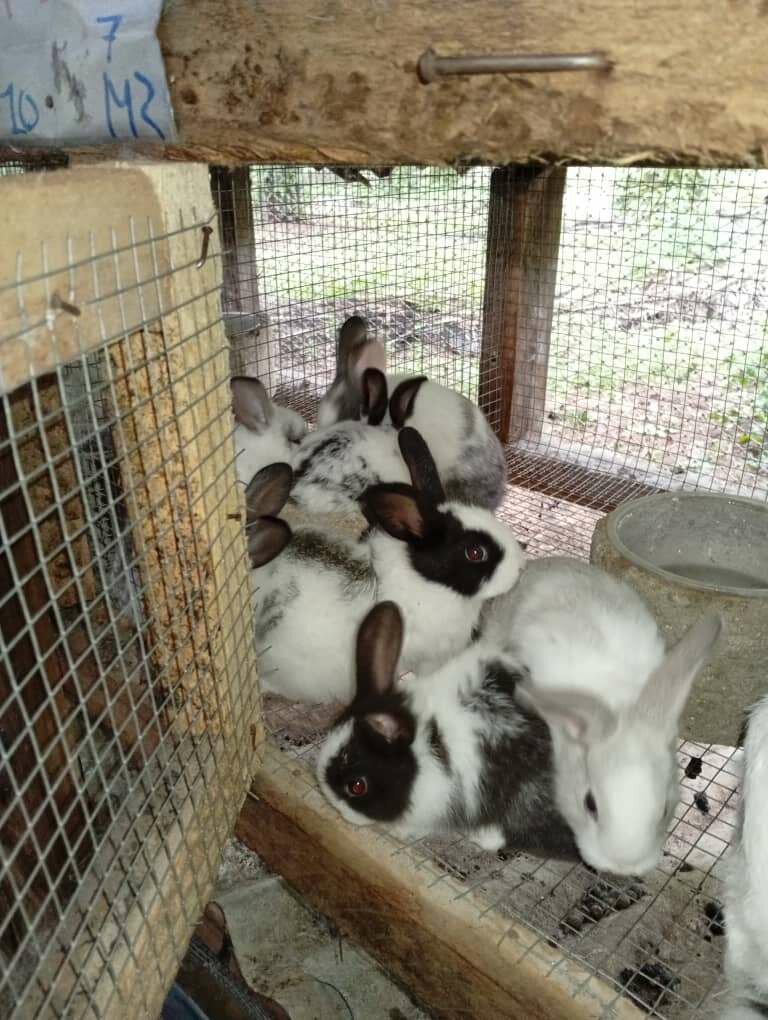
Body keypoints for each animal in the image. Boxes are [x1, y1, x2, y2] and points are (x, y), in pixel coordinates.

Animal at [317, 600, 581, 860]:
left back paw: (483, 836)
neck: (425, 745)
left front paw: (400, 831)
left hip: (531, 800)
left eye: (357, 786)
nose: (338, 809)